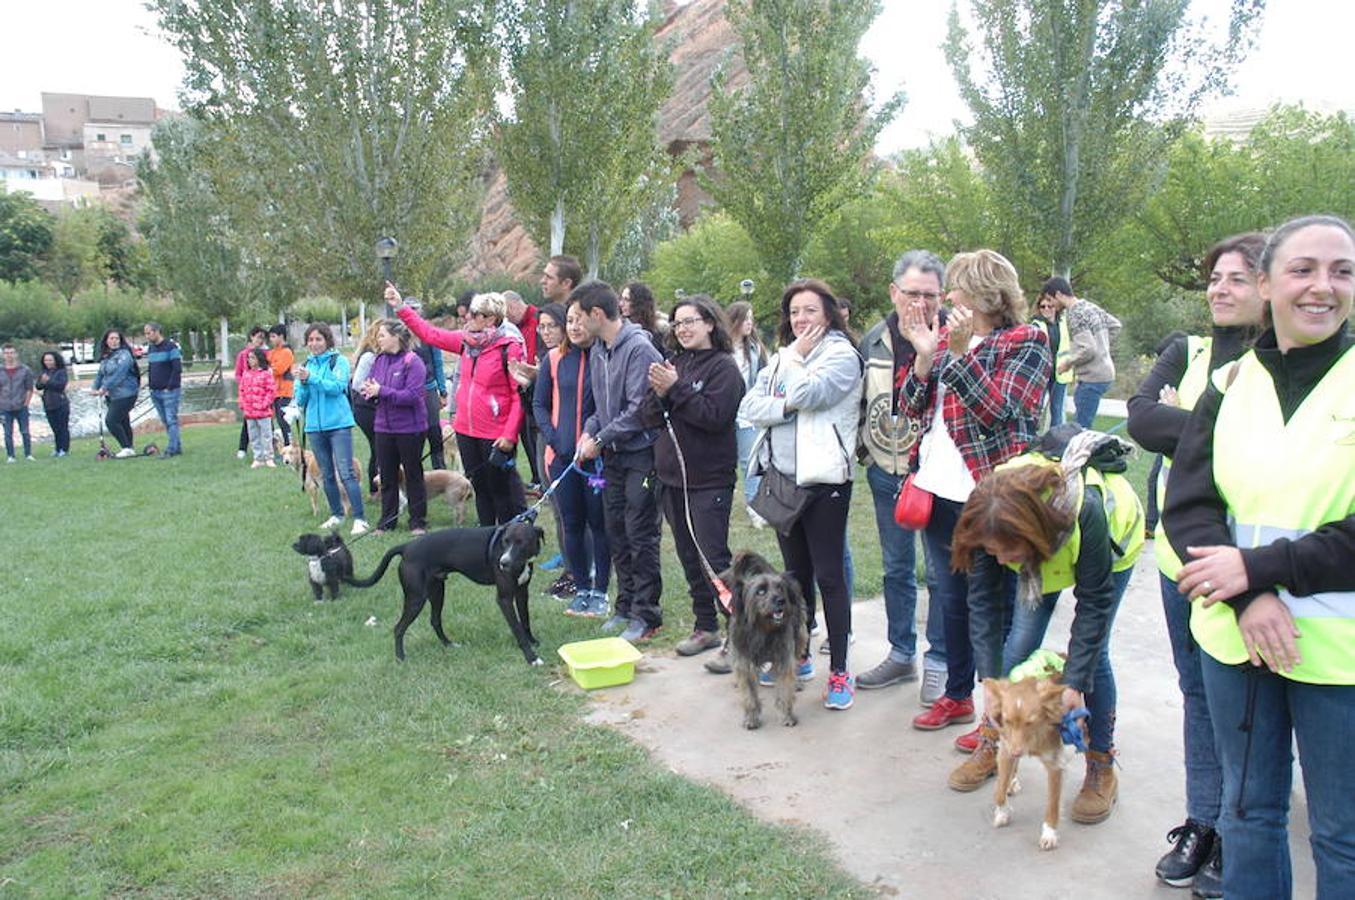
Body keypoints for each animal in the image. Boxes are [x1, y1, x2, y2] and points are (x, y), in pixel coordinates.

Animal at [344, 520, 544, 661]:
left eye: (522, 542)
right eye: (505, 542)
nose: (503, 563)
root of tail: (406, 547)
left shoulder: (522, 593)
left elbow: (525, 620)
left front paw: (533, 642)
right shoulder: (504, 598)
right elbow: (517, 627)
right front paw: (531, 658)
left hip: (437, 591)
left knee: (435, 621)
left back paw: (449, 645)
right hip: (416, 598)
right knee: (399, 628)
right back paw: (400, 658)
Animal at [726, 547, 807, 731]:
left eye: (780, 588)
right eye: (760, 591)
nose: (781, 600)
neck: (763, 629)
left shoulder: (784, 658)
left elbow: (785, 688)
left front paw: (787, 716)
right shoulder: (744, 662)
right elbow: (749, 695)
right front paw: (751, 718)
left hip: (800, 635)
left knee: (797, 660)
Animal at [981, 677, 1073, 856]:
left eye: (1030, 723)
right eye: (1007, 721)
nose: (1017, 752)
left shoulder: (1055, 763)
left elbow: (1052, 805)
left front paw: (1049, 834)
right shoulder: (1006, 751)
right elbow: (999, 791)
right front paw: (1003, 812)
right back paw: (1012, 782)